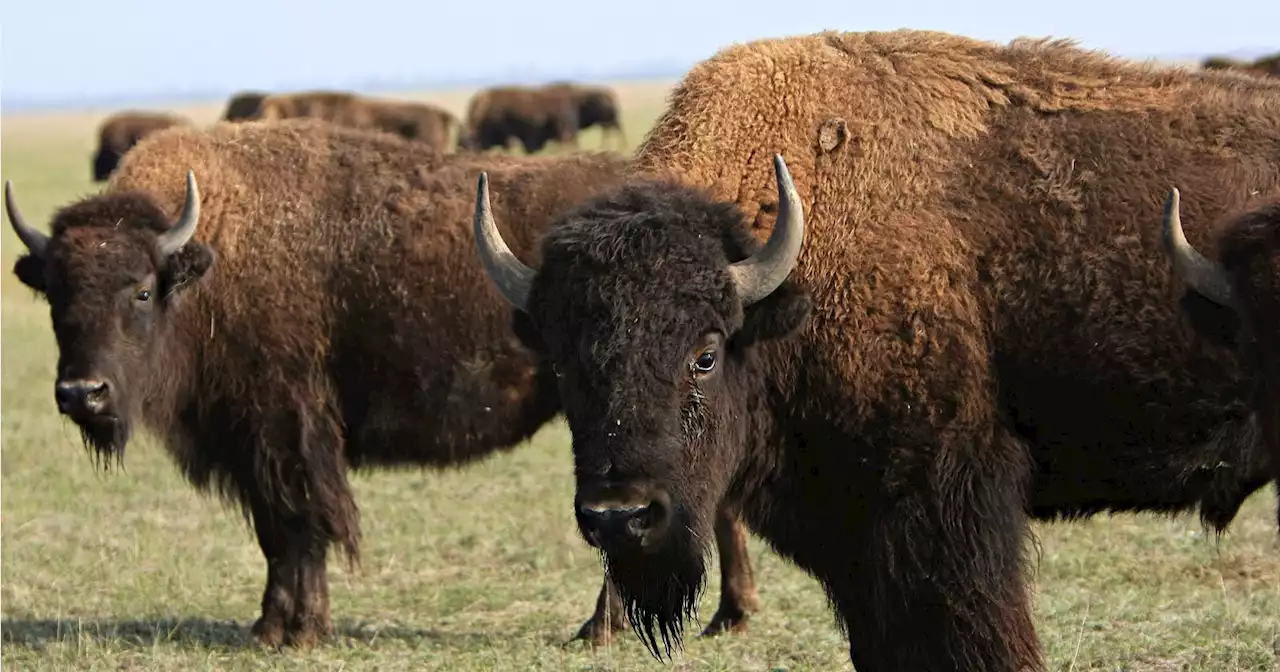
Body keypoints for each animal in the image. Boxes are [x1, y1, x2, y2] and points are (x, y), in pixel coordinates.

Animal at [0, 117, 762, 647]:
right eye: (56, 294)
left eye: (138, 291)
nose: (82, 393)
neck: (206, 257)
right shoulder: (256, 445)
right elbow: (278, 534)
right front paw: (270, 627)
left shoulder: (285, 432)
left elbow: (302, 525)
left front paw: (295, 631)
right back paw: (723, 617)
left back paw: (603, 631)